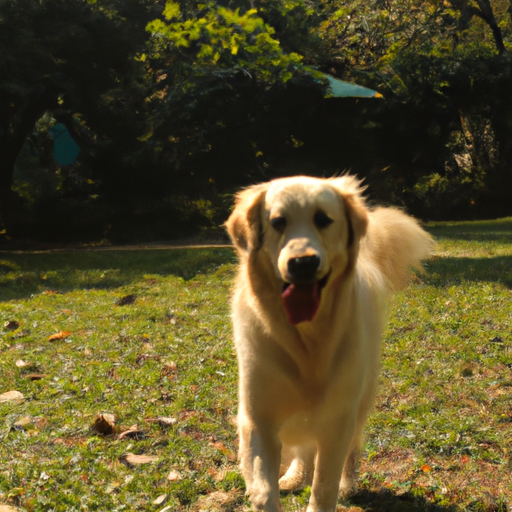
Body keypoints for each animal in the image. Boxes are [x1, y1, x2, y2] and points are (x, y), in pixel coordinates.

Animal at [226, 176, 430, 512]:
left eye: (323, 219)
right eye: (278, 222)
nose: (302, 263)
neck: (307, 340)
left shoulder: (337, 418)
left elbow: (324, 487)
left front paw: (332, 487)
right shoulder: (257, 418)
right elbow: (263, 489)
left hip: (359, 399)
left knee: (352, 446)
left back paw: (347, 483)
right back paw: (294, 476)